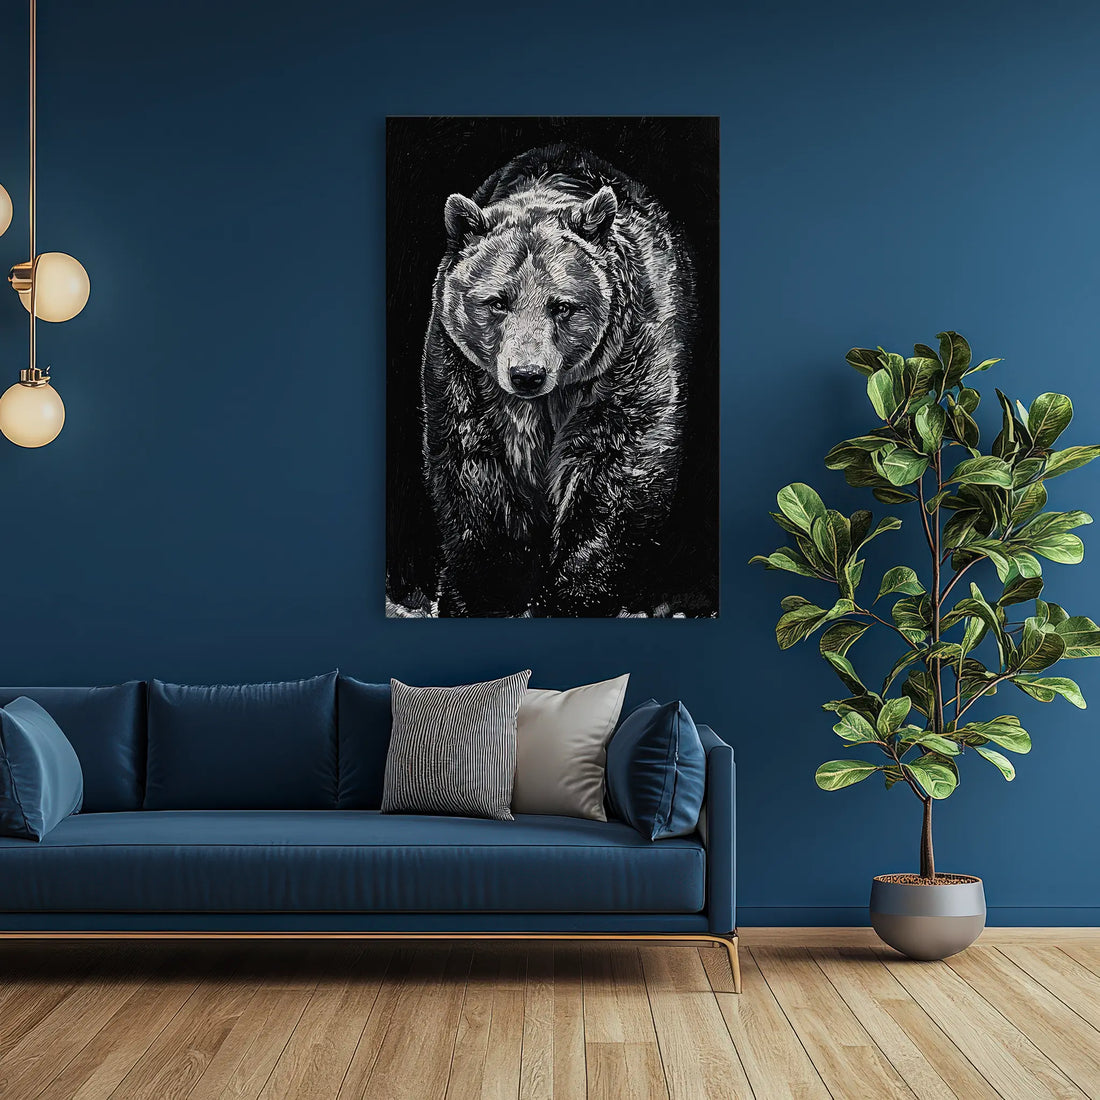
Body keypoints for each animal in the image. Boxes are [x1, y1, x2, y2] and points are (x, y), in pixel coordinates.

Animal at [420, 144, 695, 617]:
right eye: (498, 302)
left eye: (562, 305)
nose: (527, 374)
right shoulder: (463, 370)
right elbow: (473, 469)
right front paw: (489, 591)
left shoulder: (627, 359)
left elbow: (616, 470)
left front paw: (568, 595)